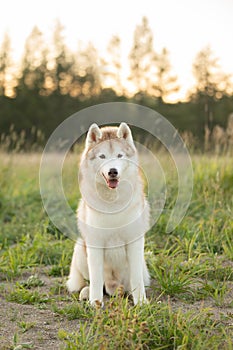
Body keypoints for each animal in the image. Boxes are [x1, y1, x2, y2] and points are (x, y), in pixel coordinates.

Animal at [67, 123, 151, 306]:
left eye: (119, 155)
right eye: (102, 156)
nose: (113, 171)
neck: (113, 202)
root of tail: (114, 286)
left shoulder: (134, 241)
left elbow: (136, 279)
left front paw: (141, 302)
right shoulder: (95, 242)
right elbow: (96, 279)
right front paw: (95, 302)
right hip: (80, 248)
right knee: (91, 282)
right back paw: (86, 293)